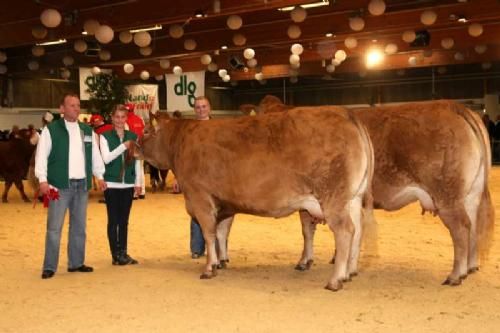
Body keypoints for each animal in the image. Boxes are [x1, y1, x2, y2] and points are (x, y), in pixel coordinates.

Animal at [139, 105, 374, 290]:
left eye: (147, 131)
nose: (134, 147)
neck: (180, 141)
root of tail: (345, 112)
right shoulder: (225, 203)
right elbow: (221, 232)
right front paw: (222, 261)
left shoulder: (200, 198)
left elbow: (209, 234)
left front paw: (209, 268)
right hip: (353, 198)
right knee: (358, 229)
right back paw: (349, 273)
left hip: (333, 198)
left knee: (345, 230)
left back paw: (335, 280)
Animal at [244, 96, 494, 286]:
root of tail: (455, 106)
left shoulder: (307, 202)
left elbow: (307, 232)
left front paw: (305, 261)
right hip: (470, 195)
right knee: (474, 226)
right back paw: (471, 267)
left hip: (447, 194)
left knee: (461, 227)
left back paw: (455, 275)